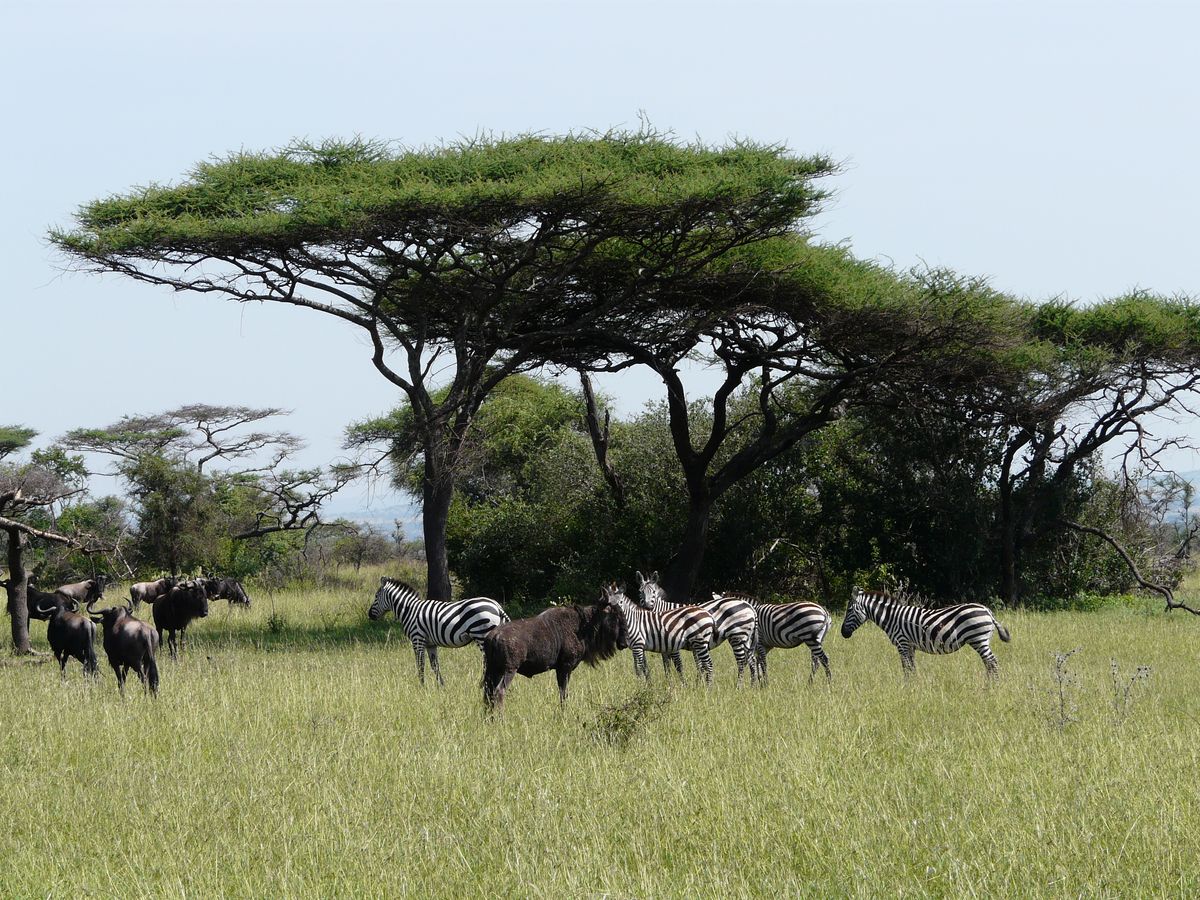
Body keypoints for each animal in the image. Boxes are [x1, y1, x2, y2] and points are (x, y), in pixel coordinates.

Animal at [368, 578, 510, 686]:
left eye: (376, 597)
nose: (369, 615)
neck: (409, 610)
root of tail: (497, 606)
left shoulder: (417, 639)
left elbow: (420, 664)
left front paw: (421, 686)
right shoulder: (430, 644)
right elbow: (435, 665)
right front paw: (440, 685)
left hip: (482, 634)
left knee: (488, 661)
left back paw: (483, 684)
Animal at [840, 586, 1011, 678]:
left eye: (849, 610)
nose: (843, 633)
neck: (891, 618)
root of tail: (987, 611)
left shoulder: (902, 643)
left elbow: (906, 668)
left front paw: (907, 688)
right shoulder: (910, 646)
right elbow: (912, 667)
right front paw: (914, 686)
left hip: (978, 639)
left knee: (992, 662)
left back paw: (991, 688)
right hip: (981, 640)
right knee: (989, 663)